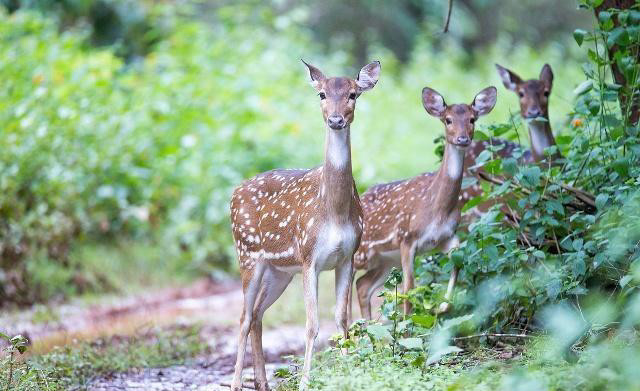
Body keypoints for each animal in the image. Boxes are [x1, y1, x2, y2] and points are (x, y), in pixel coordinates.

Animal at [230, 59, 380, 390]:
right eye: (321, 94)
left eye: (353, 94)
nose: (336, 120)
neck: (334, 212)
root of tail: (233, 193)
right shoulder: (310, 256)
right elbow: (312, 325)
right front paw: (306, 381)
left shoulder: (347, 257)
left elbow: (341, 319)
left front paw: (348, 372)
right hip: (247, 255)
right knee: (244, 318)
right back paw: (235, 383)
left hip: (280, 270)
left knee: (257, 315)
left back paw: (263, 383)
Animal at [352, 85, 498, 318]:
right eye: (448, 120)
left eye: (472, 119)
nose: (462, 139)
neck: (437, 210)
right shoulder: (406, 238)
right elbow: (408, 289)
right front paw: (408, 323)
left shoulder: (447, 238)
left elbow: (457, 265)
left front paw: (440, 307)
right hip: (360, 253)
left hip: (384, 260)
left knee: (362, 286)